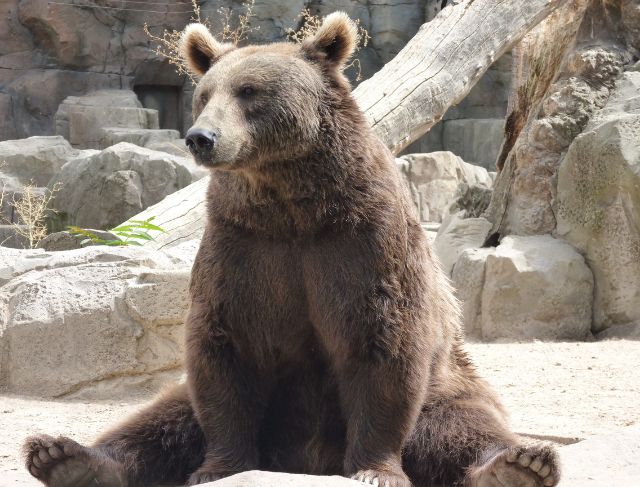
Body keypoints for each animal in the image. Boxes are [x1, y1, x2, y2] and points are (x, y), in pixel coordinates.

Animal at [24, 12, 560, 487]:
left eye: (249, 91)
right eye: (204, 95)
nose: (201, 138)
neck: (293, 209)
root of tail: (306, 461)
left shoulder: (363, 245)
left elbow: (384, 342)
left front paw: (375, 469)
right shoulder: (244, 248)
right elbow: (221, 351)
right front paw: (218, 467)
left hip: (449, 382)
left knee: (464, 426)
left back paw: (520, 465)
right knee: (161, 417)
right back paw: (65, 456)